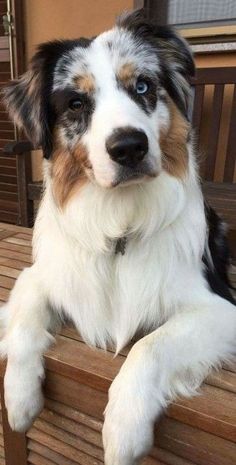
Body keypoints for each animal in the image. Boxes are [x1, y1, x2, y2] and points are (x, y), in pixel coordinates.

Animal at [0, 10, 236, 464]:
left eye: (142, 86)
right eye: (76, 103)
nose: (129, 146)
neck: (120, 222)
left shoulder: (222, 308)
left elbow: (151, 345)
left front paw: (123, 432)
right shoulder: (40, 275)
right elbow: (24, 322)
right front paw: (19, 400)